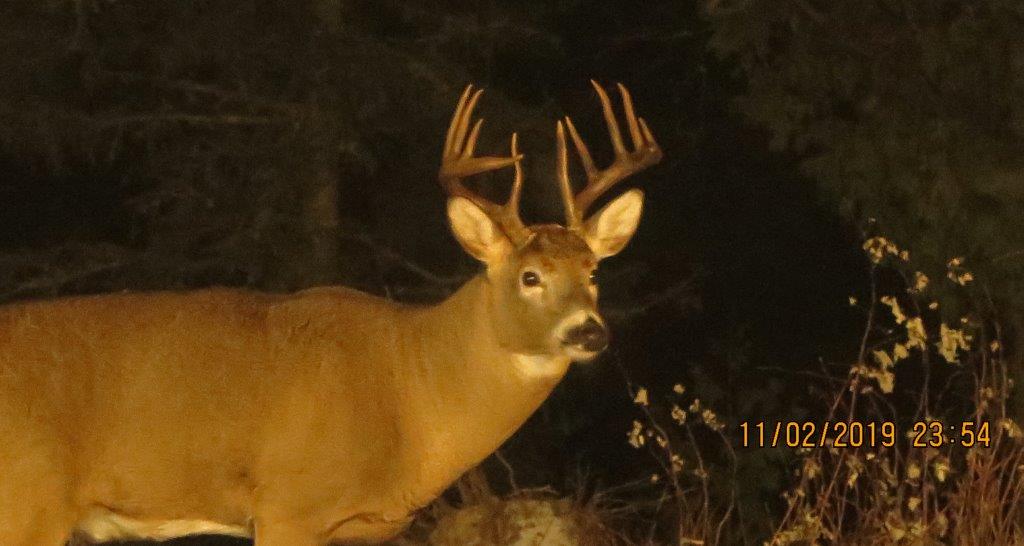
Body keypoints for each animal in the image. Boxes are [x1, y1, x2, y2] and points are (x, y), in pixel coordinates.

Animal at [0, 81, 661, 545]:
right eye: (530, 276)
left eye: (593, 274)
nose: (590, 331)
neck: (410, 387)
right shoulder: (289, 504)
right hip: (28, 496)